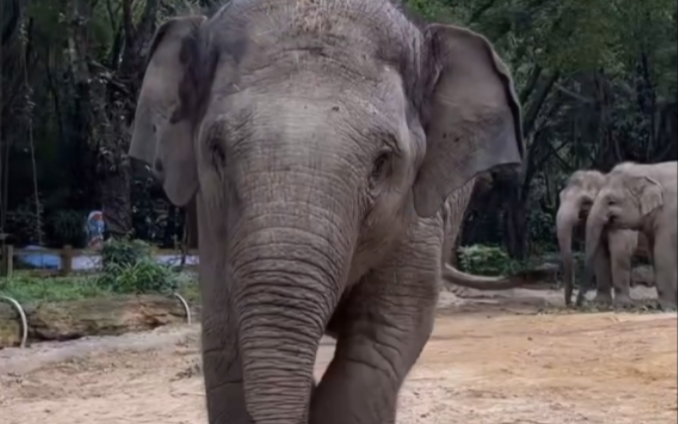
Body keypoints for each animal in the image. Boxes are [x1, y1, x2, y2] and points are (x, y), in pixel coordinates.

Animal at [130, 1, 528, 422]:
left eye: (382, 163)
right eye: (216, 152)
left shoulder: (420, 217)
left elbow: (378, 345)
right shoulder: (211, 219)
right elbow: (224, 345)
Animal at [556, 168, 652, 304]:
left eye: (585, 201)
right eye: (560, 197)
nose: (572, 303)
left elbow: (620, 250)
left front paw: (623, 303)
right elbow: (600, 253)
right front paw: (601, 302)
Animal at [580, 161, 676, 310]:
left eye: (611, 201)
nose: (579, 302)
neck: (647, 169)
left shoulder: (669, 216)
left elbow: (663, 252)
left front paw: (668, 307)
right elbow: (653, 252)